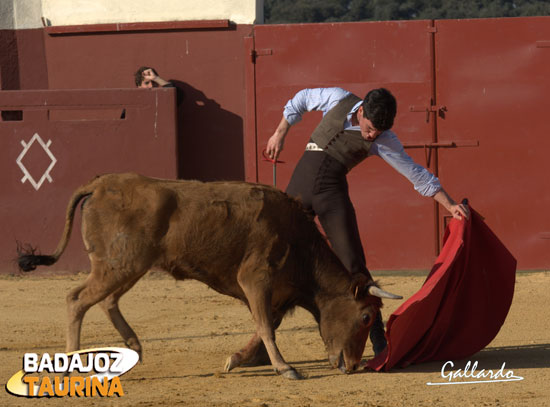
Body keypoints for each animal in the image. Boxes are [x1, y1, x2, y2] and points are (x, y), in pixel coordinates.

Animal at [18, 172, 402, 380]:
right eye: (366, 317)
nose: (352, 366)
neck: (297, 238)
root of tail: (99, 184)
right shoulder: (256, 278)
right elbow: (266, 326)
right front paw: (285, 368)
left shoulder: (275, 293)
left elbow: (265, 326)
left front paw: (237, 359)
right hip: (118, 265)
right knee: (76, 300)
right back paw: (69, 364)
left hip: (128, 266)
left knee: (107, 300)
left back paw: (134, 346)